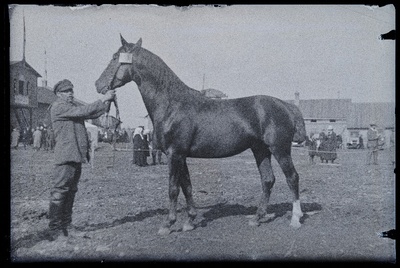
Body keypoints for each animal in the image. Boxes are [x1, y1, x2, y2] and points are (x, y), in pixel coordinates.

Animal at [96, 35, 306, 234]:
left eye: (115, 57)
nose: (98, 84)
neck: (171, 104)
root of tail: (287, 106)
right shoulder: (181, 156)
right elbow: (187, 186)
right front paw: (189, 221)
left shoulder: (174, 154)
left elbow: (173, 189)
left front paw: (168, 224)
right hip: (260, 150)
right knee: (268, 179)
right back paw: (257, 217)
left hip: (279, 149)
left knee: (292, 177)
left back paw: (296, 218)